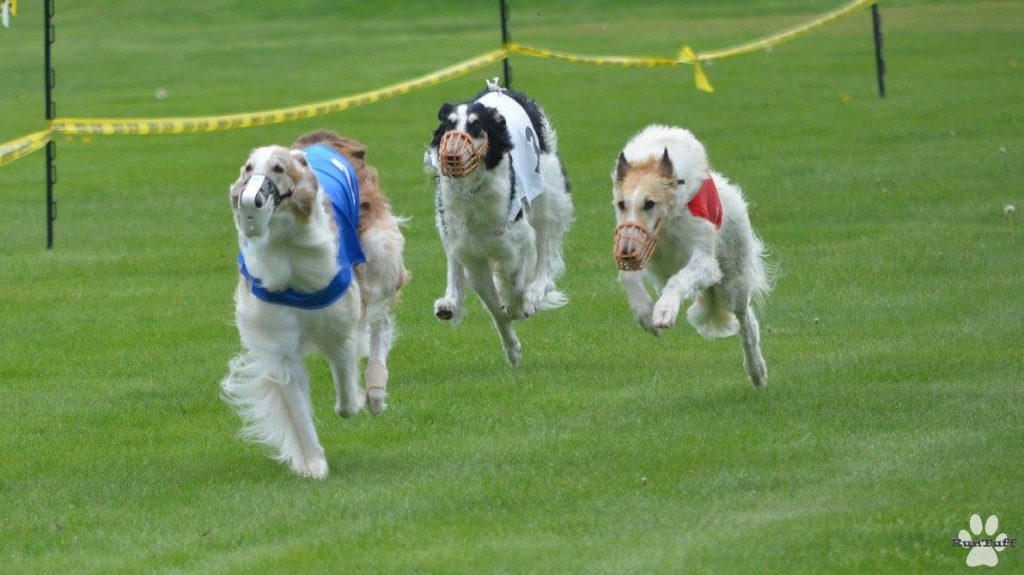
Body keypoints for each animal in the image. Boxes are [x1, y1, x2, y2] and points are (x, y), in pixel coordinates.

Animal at [221, 130, 407, 478]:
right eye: (248, 168)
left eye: (279, 168)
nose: (253, 199)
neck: (287, 250)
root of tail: (325, 138)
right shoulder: (278, 340)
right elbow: (295, 404)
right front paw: (314, 464)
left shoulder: (338, 323)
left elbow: (346, 396)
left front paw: (359, 399)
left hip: (379, 251)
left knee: (381, 323)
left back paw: (375, 389)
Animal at [421, 78, 573, 364]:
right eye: (449, 124)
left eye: (476, 126)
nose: (451, 154)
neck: (473, 192)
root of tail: (500, 88)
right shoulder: (473, 257)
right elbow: (496, 309)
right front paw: (512, 349)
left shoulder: (514, 245)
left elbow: (512, 293)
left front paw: (523, 305)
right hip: (443, 220)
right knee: (453, 262)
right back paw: (450, 303)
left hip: (547, 194)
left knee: (545, 252)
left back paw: (536, 291)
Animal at [610, 123, 770, 386]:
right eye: (622, 204)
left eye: (650, 203)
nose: (625, 253)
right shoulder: (640, 245)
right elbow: (628, 276)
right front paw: (646, 315)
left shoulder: (705, 258)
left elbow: (680, 279)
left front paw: (664, 311)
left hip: (731, 284)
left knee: (746, 321)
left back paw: (757, 371)